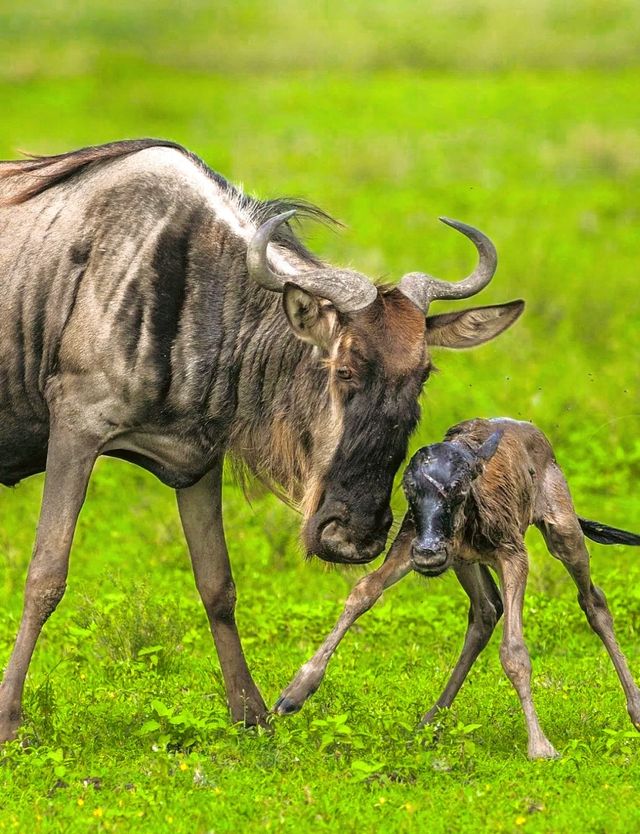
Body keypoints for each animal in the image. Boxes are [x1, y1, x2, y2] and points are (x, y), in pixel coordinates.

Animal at [276, 420, 640, 756]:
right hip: (464, 563)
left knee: (593, 601)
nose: (429, 553)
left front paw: (540, 746)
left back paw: (635, 710)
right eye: (408, 491)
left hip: (562, 528)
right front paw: (295, 692)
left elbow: (514, 651)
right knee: (486, 611)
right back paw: (429, 721)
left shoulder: (514, 554)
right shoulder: (411, 541)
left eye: (459, 490)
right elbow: (363, 591)